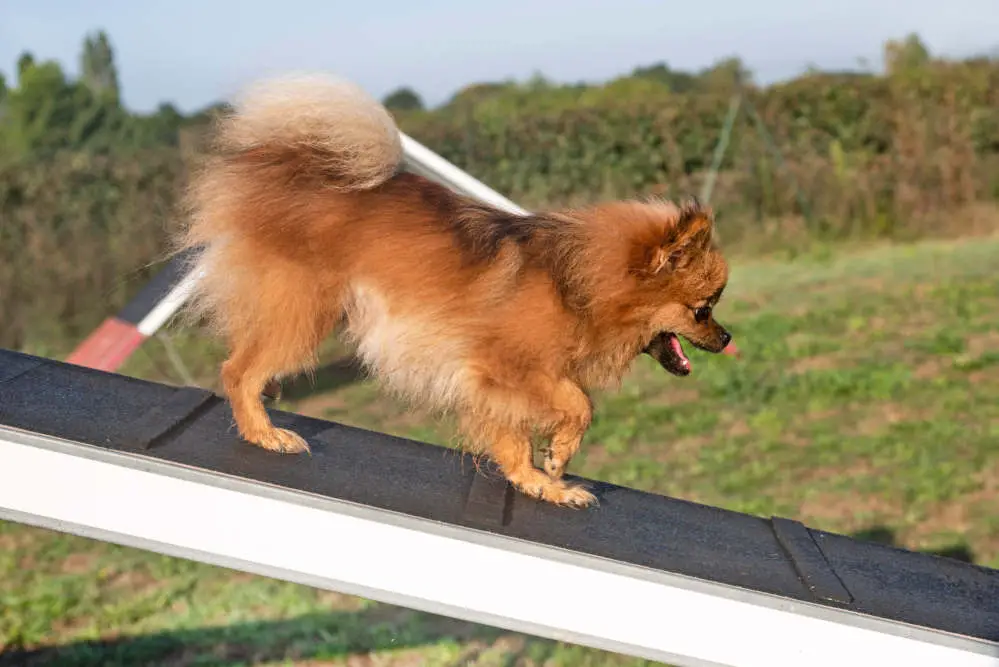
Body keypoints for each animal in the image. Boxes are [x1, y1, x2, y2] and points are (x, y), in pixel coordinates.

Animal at [174, 73, 736, 508]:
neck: (574, 283)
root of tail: (289, 164)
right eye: (703, 310)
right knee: (238, 371)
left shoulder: (492, 384)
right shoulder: (508, 366)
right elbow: (578, 403)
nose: (729, 338)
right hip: (302, 316)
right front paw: (558, 456)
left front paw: (539, 484)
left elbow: (513, 440)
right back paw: (265, 433)